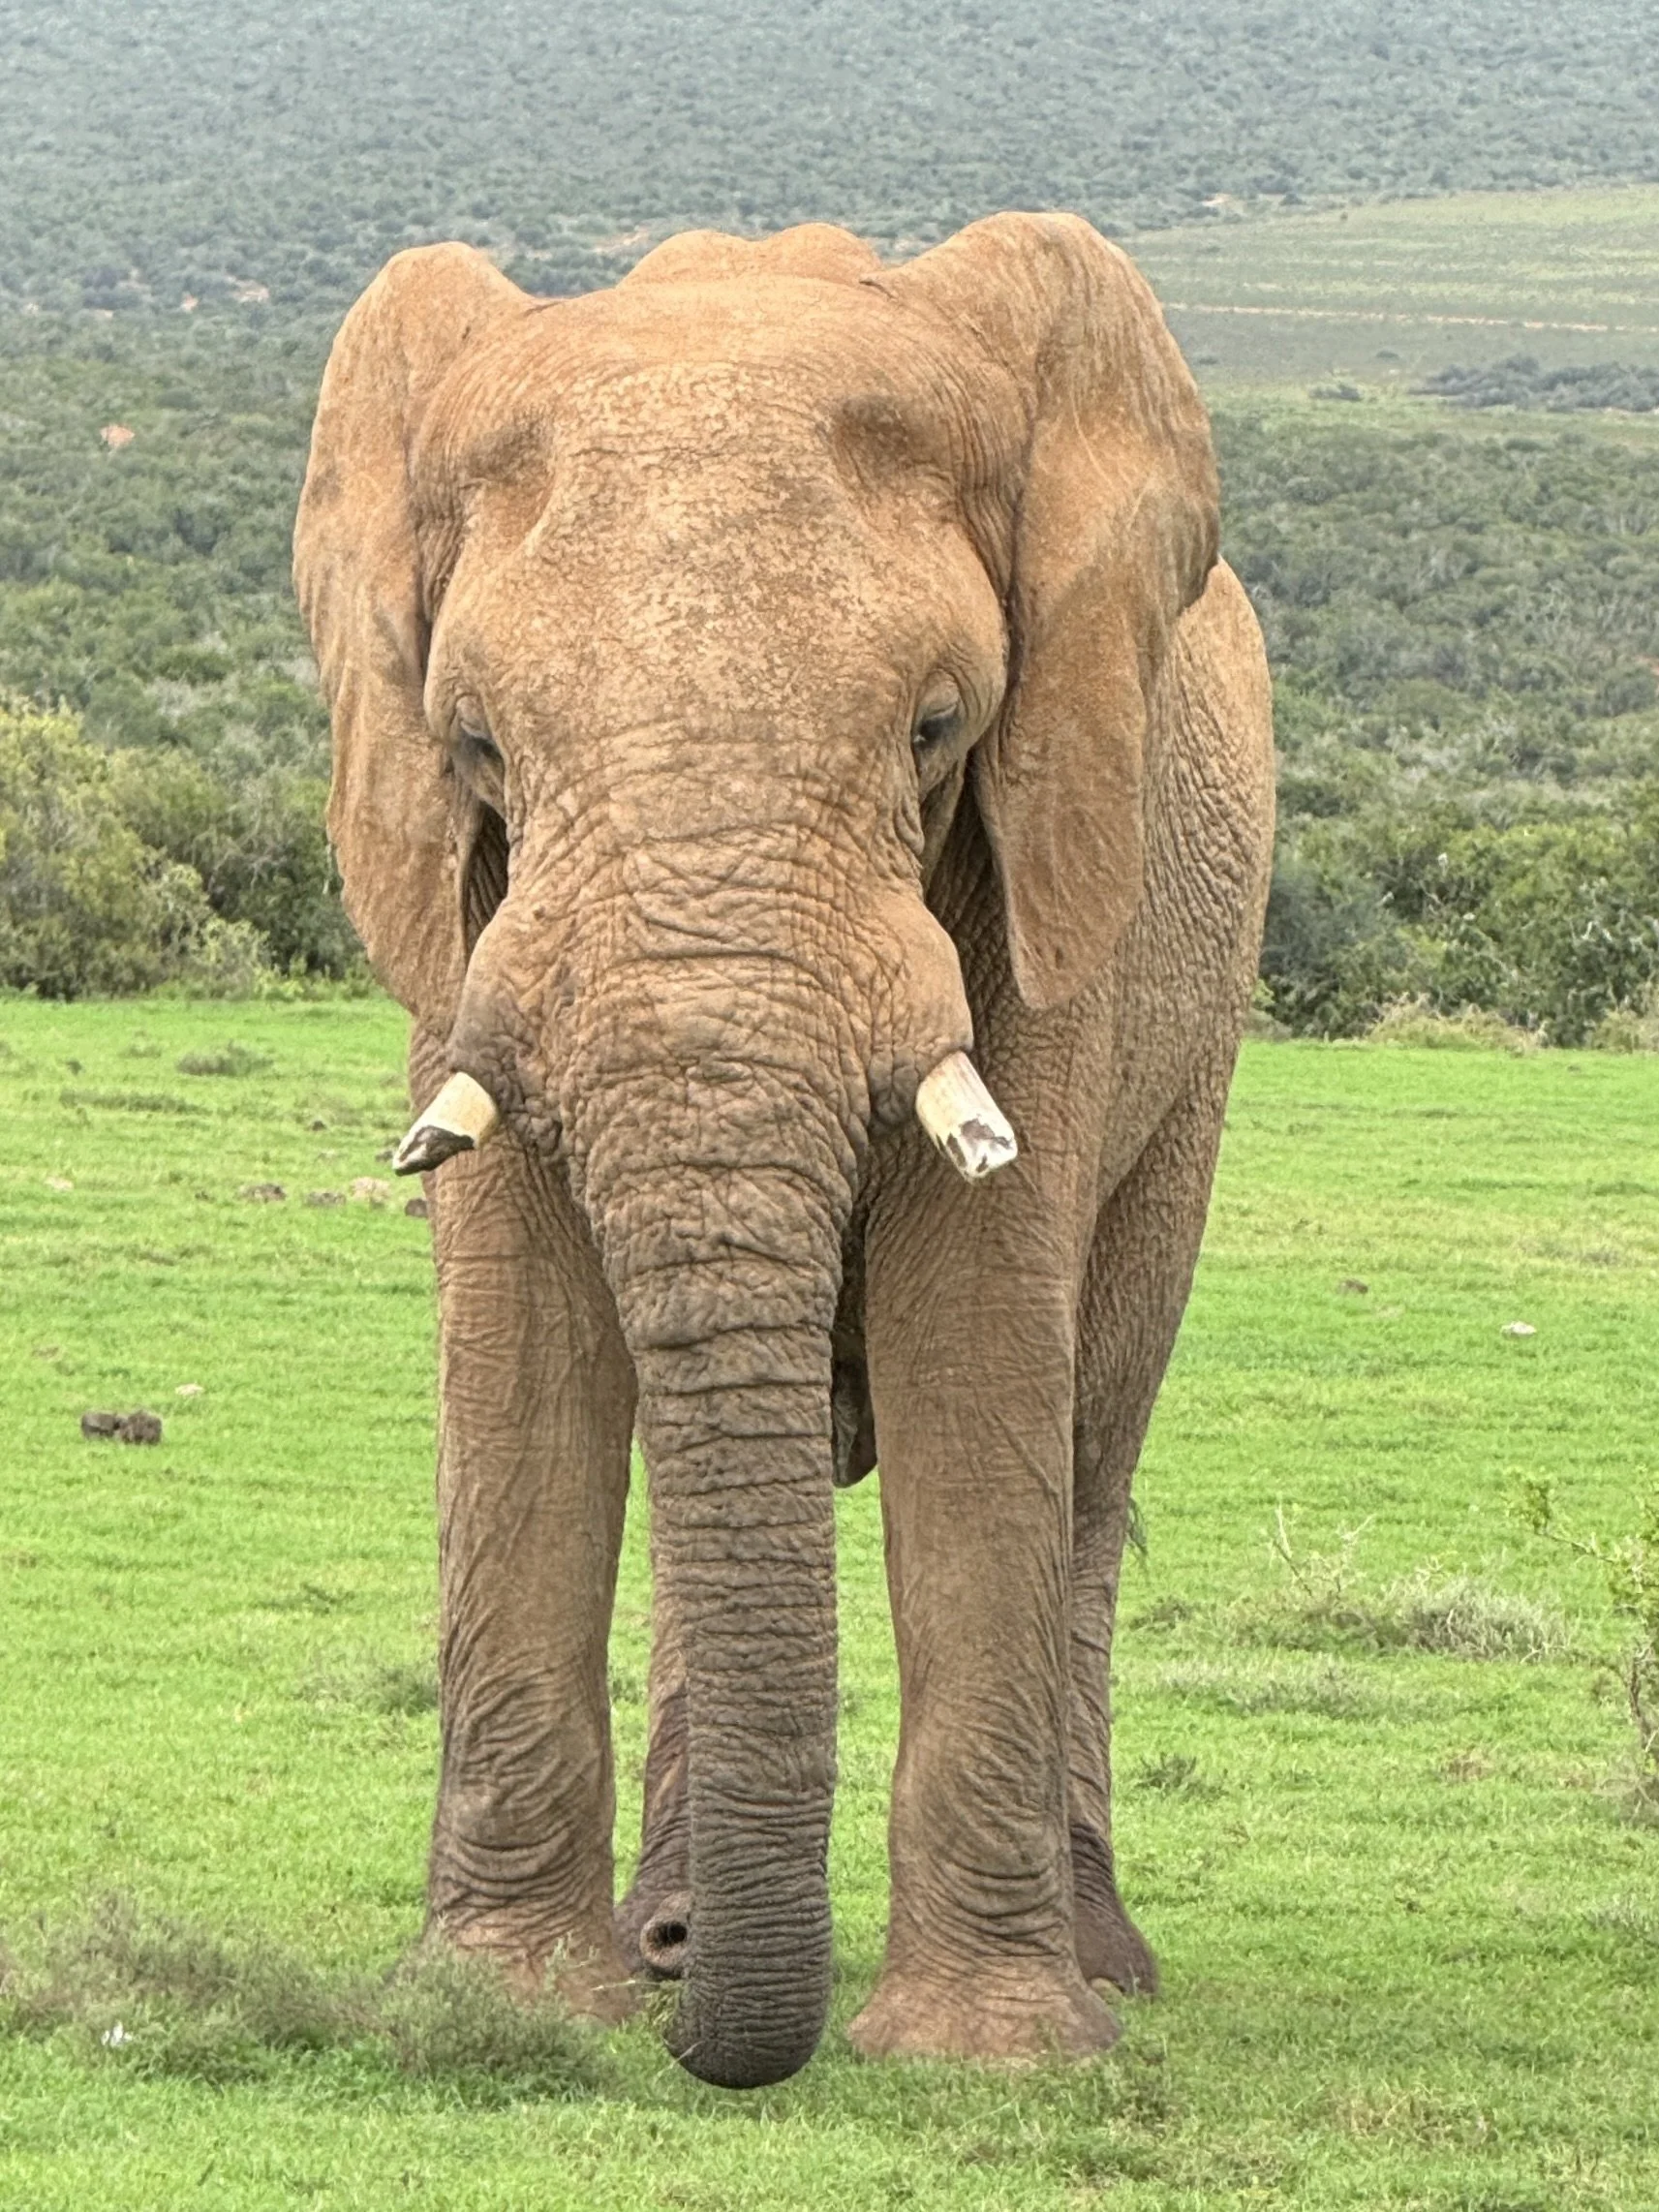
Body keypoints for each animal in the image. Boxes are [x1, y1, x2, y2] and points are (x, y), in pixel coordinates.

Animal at [293, 212, 1274, 2091]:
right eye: (478, 746)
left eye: (936, 727)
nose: (726, 2047)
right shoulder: (465, 912)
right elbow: (516, 1340)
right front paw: (501, 2008)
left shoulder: (1042, 876)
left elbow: (980, 1344)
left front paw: (990, 2059)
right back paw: (672, 1938)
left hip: (1196, 1036)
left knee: (1092, 1446)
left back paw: (1099, 1968)